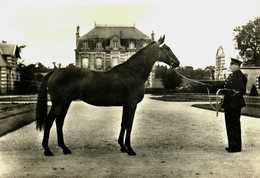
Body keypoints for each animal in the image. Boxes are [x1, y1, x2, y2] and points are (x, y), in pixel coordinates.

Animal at [35, 35, 180, 156]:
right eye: (167, 48)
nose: (177, 63)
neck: (133, 73)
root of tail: (55, 71)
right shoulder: (132, 105)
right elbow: (129, 125)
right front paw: (130, 149)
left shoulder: (126, 105)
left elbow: (123, 124)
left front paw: (122, 147)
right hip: (59, 103)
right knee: (50, 122)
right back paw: (47, 150)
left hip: (65, 103)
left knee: (59, 122)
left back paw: (64, 148)